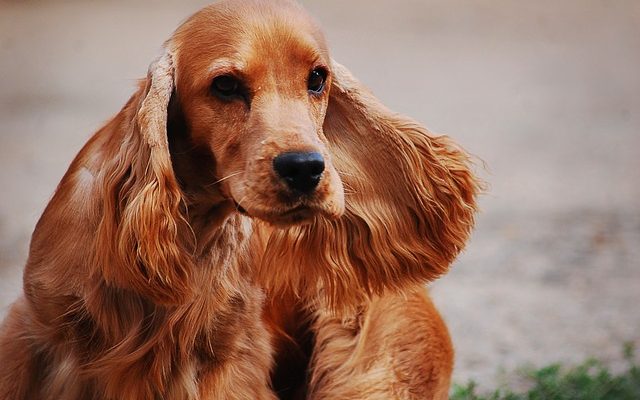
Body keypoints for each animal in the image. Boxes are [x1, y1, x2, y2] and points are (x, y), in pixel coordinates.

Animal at [0, 1, 478, 398]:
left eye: (317, 78)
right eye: (226, 85)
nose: (305, 168)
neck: (192, 232)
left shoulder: (228, 365)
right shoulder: (34, 335)